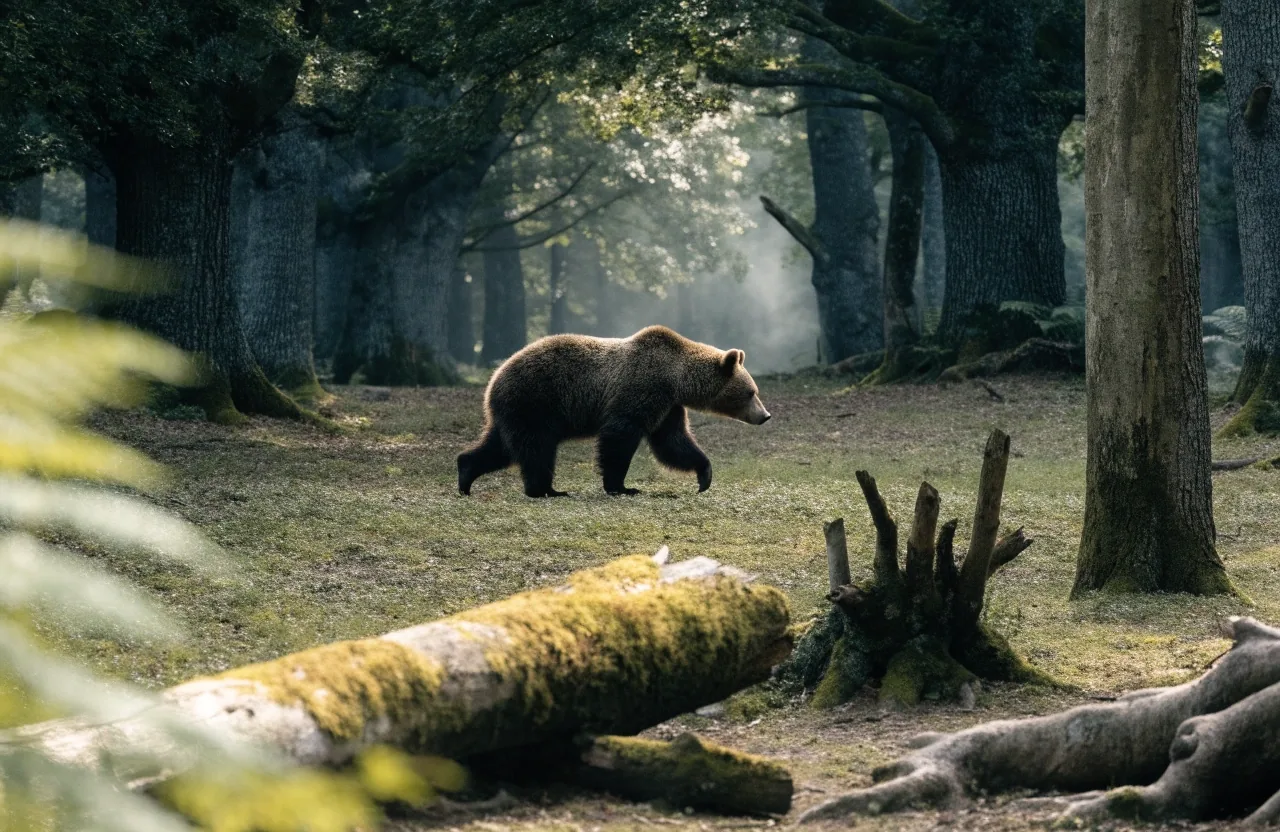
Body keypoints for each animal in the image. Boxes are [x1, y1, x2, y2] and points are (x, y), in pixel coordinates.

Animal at [458, 326, 771, 498]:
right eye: (751, 392)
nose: (765, 416)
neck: (676, 378)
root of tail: (494, 379)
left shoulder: (668, 407)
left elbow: (672, 442)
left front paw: (704, 475)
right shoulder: (642, 389)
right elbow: (620, 435)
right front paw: (621, 486)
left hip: (515, 411)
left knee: (499, 447)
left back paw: (465, 473)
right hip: (535, 400)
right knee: (537, 449)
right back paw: (546, 489)